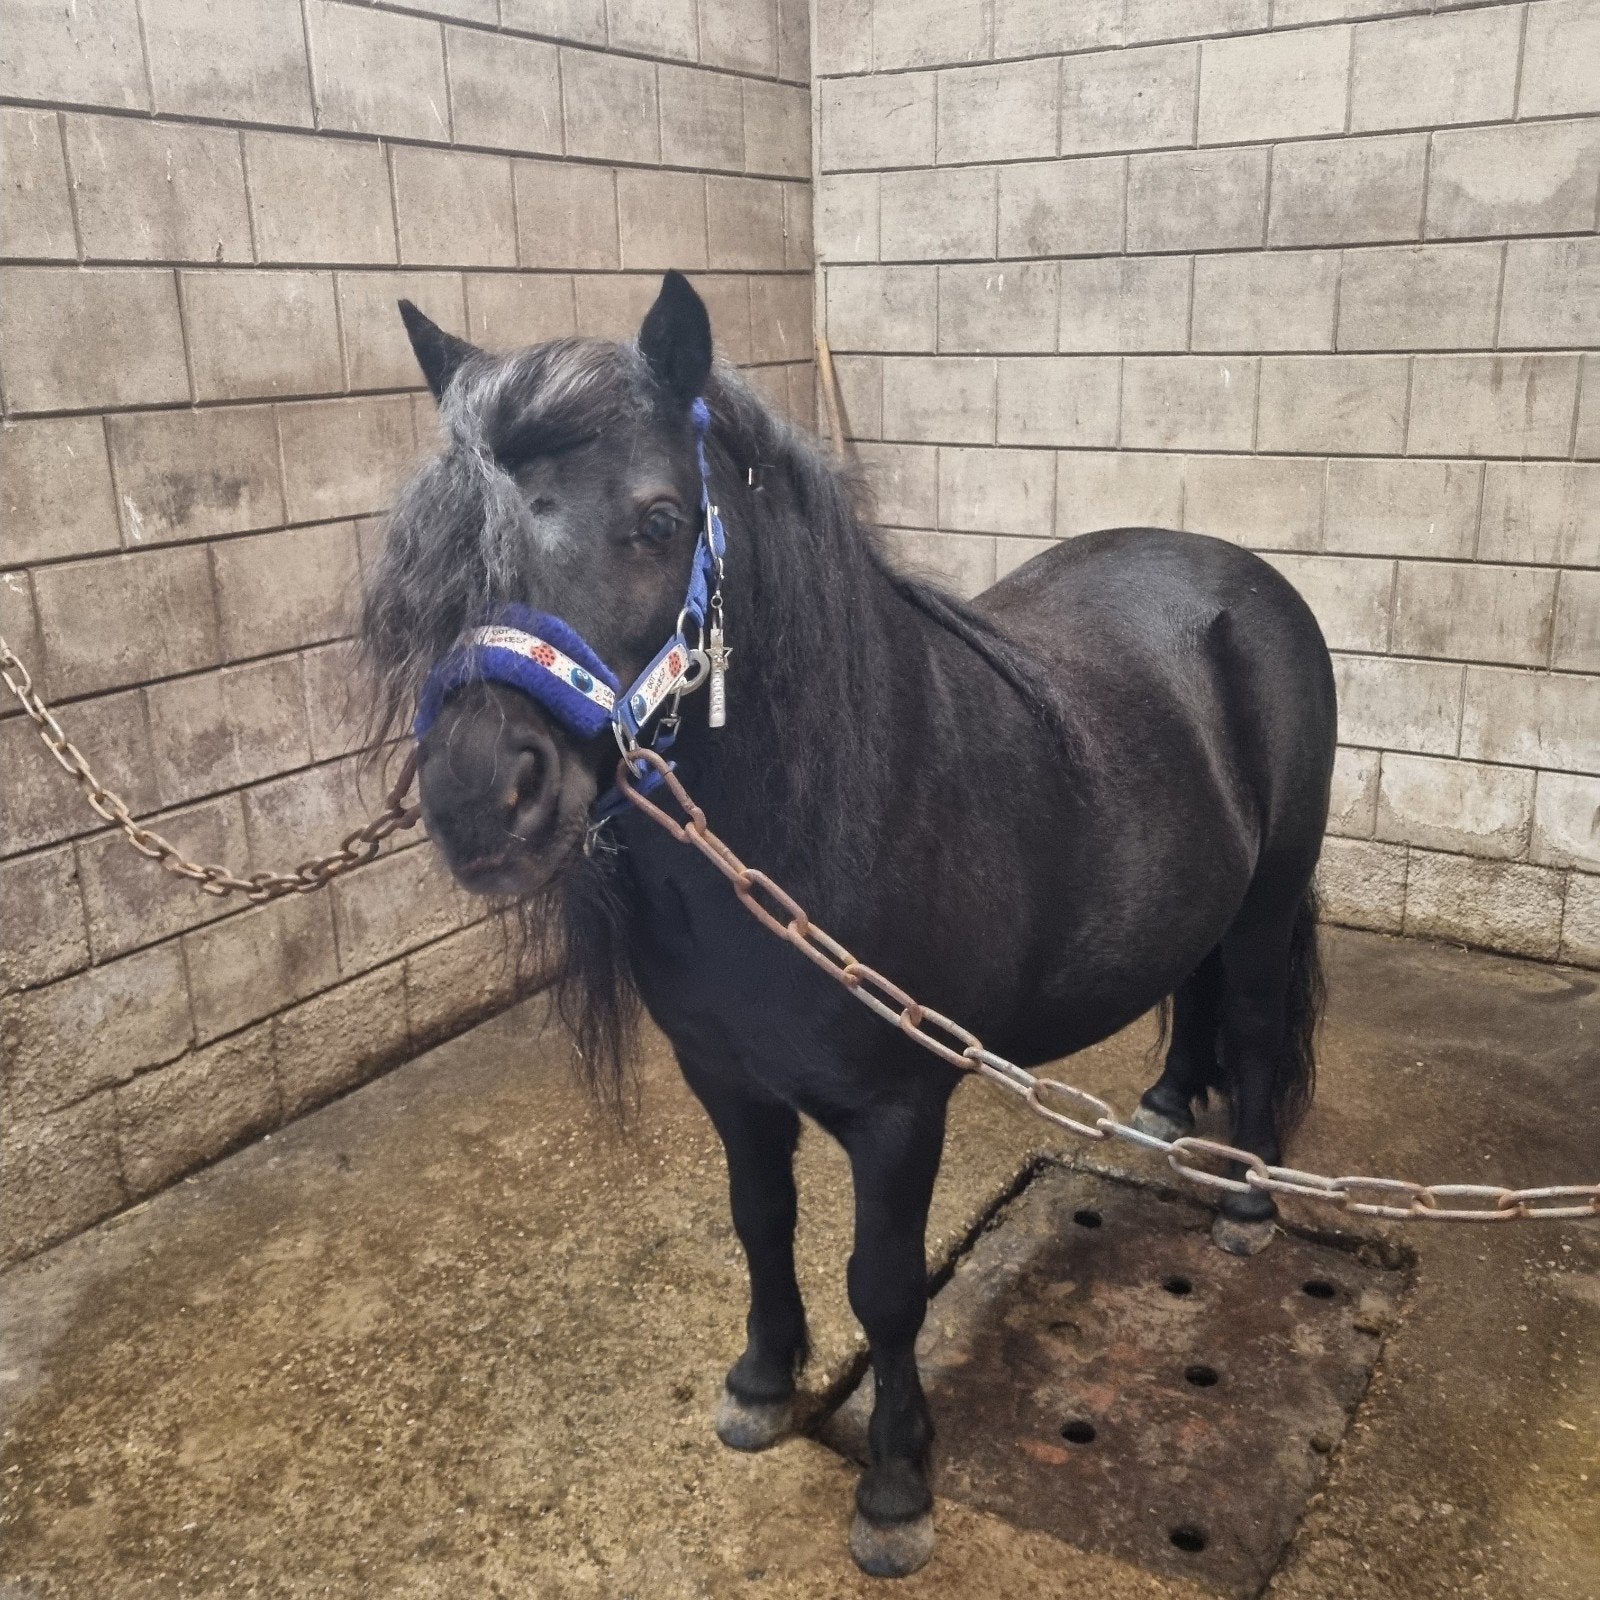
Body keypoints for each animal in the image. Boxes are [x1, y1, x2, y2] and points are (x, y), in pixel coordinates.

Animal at [360, 271, 1337, 1578]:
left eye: (658, 517)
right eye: (446, 539)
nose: (480, 796)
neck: (820, 827)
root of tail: (1240, 578)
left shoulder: (898, 1110)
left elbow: (885, 1287)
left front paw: (894, 1487)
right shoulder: (725, 1081)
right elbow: (759, 1221)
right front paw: (762, 1383)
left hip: (1271, 896)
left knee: (1259, 1021)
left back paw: (1244, 1200)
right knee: (1192, 984)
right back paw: (1169, 1107)